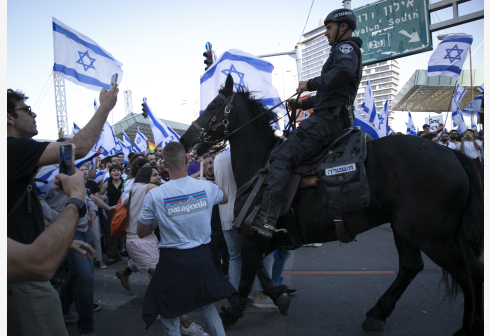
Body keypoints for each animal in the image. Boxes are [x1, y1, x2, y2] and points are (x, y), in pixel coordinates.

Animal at [179, 75, 482, 334]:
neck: (260, 164)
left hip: (432, 237)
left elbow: (246, 278)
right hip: (407, 229)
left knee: (469, 273)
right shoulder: (264, 237)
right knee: (411, 266)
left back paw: (467, 327)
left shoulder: (255, 236)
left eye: (213, 106)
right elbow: (261, 274)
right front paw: (278, 296)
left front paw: (233, 312)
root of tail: (454, 156)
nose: (184, 139)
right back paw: (378, 313)